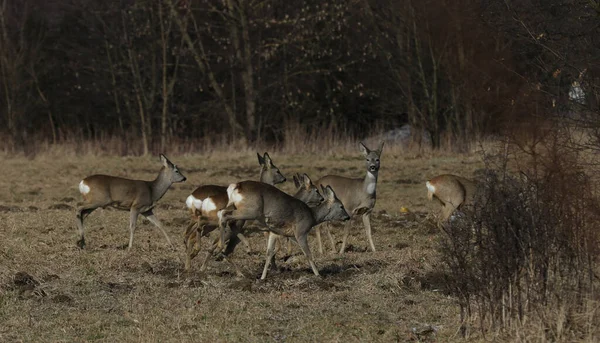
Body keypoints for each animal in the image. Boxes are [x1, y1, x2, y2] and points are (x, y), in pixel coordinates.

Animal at [193, 173, 326, 276]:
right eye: (316, 190)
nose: (322, 199)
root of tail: (237, 186)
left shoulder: (268, 230)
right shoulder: (276, 230)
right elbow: (278, 248)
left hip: (231, 221)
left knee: (211, 235)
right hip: (249, 213)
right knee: (220, 227)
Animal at [218, 180, 350, 280]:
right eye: (341, 206)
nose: (347, 217)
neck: (312, 217)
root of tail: (236, 186)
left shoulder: (274, 232)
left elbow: (269, 253)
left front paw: (262, 277)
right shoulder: (300, 232)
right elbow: (308, 254)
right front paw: (318, 275)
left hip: (244, 211)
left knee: (226, 218)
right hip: (251, 211)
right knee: (223, 214)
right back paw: (224, 248)